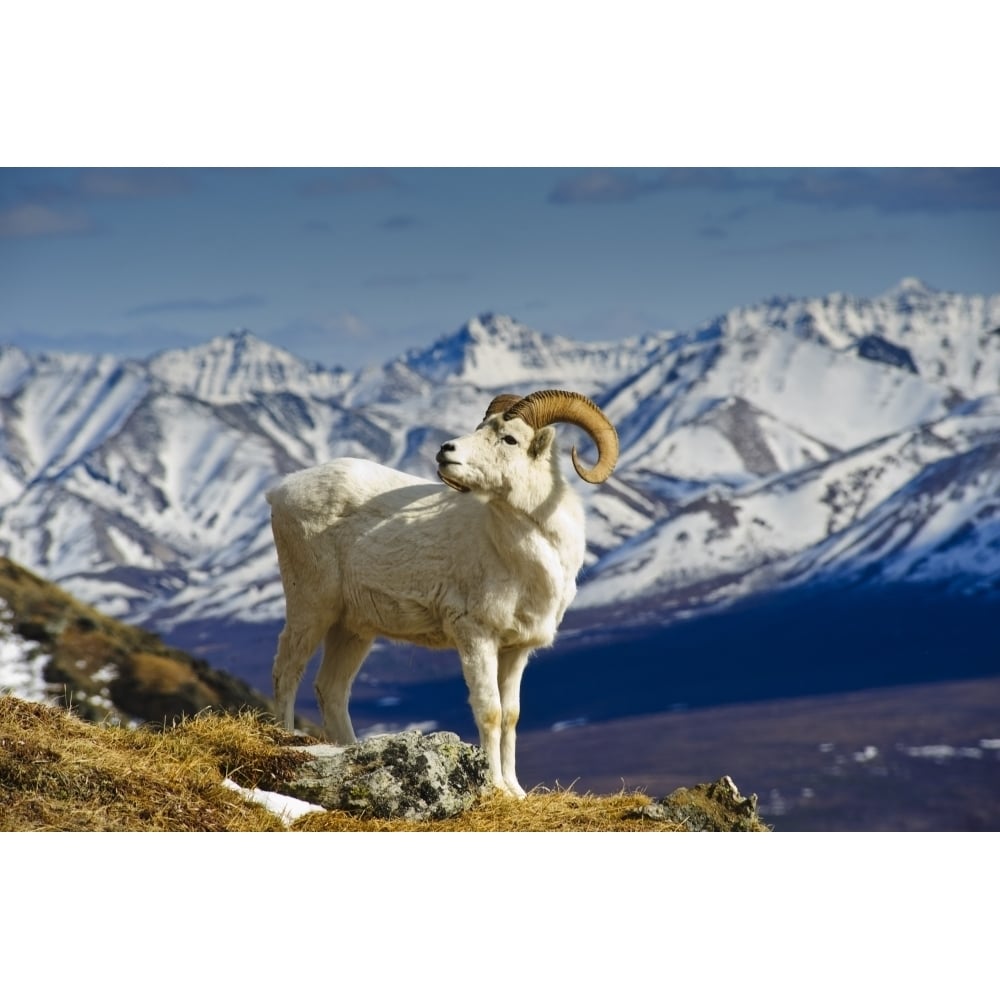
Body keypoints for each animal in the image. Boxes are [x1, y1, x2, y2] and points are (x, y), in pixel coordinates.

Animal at [266, 390, 616, 796]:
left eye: (509, 439)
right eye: (482, 428)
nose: (445, 451)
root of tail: (280, 491)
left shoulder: (516, 650)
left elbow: (511, 717)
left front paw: (516, 791)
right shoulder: (476, 637)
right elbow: (490, 712)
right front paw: (495, 787)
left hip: (353, 629)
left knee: (331, 689)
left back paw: (351, 751)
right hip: (311, 607)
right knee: (287, 672)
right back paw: (287, 741)